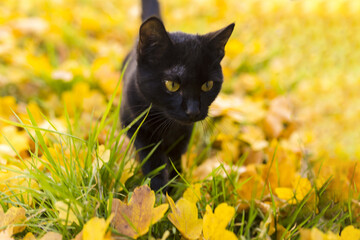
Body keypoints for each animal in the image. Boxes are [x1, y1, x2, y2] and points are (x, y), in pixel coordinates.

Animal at [119, 0, 235, 191]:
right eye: (172, 85)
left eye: (207, 85)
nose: (193, 111)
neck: (169, 126)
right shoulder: (136, 126)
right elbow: (153, 161)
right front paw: (157, 192)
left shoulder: (184, 134)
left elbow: (175, 159)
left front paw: (176, 186)